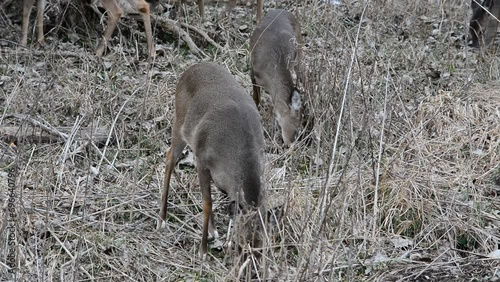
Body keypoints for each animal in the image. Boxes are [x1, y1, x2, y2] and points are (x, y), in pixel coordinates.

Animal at [20, 0, 155, 58]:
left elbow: (26, 10)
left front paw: (22, 44)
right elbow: (40, 8)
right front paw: (40, 42)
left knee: (115, 11)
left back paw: (98, 51)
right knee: (143, 5)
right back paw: (151, 52)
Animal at [158, 62, 268, 258]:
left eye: (261, 244)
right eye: (244, 241)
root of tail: (191, 68)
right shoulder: (202, 159)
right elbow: (207, 203)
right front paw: (202, 250)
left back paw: (213, 230)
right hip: (179, 123)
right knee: (170, 156)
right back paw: (162, 218)